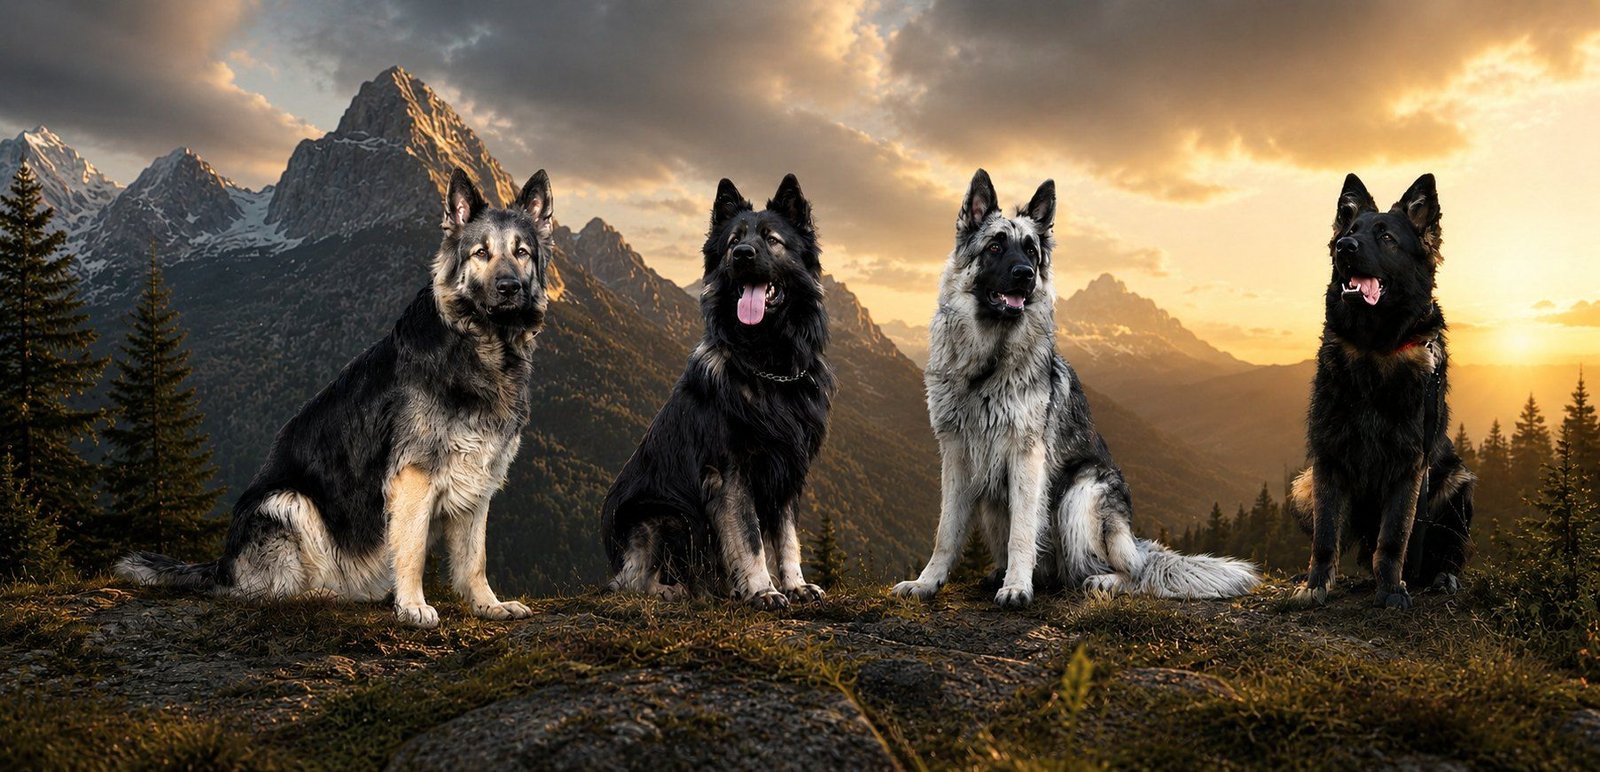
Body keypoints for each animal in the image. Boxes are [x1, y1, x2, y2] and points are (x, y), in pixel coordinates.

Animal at [116, 168, 554, 628]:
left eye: (522, 252)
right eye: (480, 253)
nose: (508, 288)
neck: (478, 346)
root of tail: (224, 563)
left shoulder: (478, 481)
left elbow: (474, 558)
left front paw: (488, 604)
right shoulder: (413, 477)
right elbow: (412, 549)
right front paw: (413, 605)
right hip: (288, 503)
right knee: (263, 593)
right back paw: (322, 594)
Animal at [601, 174, 834, 609]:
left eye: (772, 239)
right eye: (733, 242)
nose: (743, 255)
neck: (767, 365)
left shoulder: (788, 471)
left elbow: (788, 537)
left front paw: (795, 584)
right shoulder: (730, 472)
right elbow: (749, 537)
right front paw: (763, 589)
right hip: (663, 515)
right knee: (632, 582)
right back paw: (682, 591)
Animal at [893, 169, 1259, 608]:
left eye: (1031, 251)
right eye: (995, 246)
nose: (1025, 274)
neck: (987, 363)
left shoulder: (1026, 455)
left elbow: (1022, 532)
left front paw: (1017, 587)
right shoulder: (956, 455)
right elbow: (945, 531)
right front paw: (927, 582)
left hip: (1081, 493)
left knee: (1127, 571)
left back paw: (1100, 580)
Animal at [1289, 173, 1475, 609]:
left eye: (1386, 237)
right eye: (1350, 231)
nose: (1345, 246)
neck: (1374, 346)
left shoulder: (1410, 466)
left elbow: (1394, 538)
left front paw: (1391, 589)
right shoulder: (1327, 458)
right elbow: (1325, 536)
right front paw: (1315, 584)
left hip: (1456, 484)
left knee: (1444, 552)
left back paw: (1440, 576)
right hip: (1302, 487)